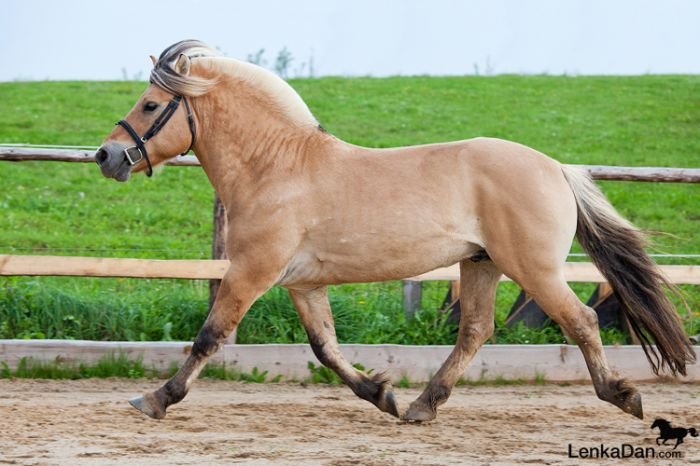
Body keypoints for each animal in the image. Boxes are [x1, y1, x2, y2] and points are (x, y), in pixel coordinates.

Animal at [94, 41, 696, 422]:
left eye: (150, 104)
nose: (107, 155)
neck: (277, 167)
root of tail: (556, 168)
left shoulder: (251, 272)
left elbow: (209, 336)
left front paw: (154, 399)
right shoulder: (302, 283)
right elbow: (326, 348)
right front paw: (380, 393)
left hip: (534, 269)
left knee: (581, 321)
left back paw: (622, 396)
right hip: (481, 264)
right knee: (475, 330)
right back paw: (421, 407)